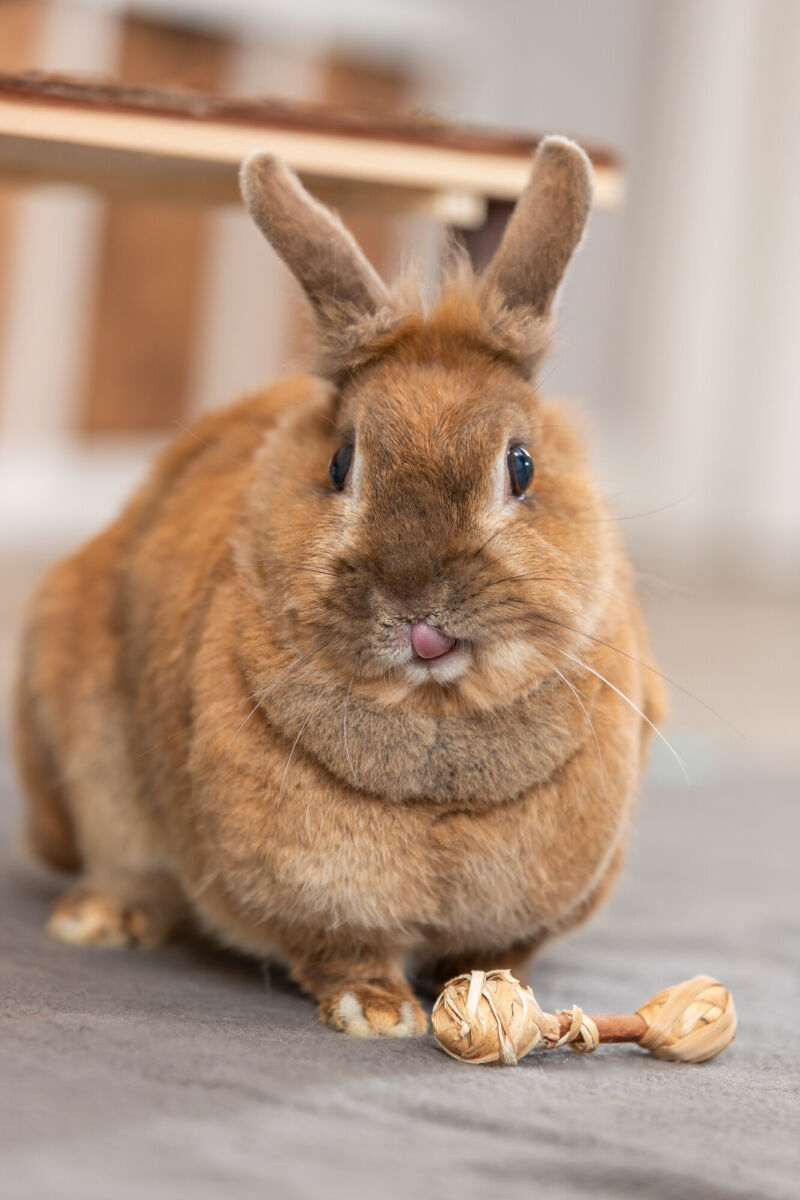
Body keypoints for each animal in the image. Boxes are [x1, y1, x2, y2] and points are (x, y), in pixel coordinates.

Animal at [12, 133, 666, 1041]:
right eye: (340, 463)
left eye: (522, 466)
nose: (419, 610)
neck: (435, 720)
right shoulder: (314, 898)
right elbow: (342, 949)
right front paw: (378, 1015)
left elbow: (495, 952)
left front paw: (499, 998)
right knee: (121, 862)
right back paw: (100, 922)